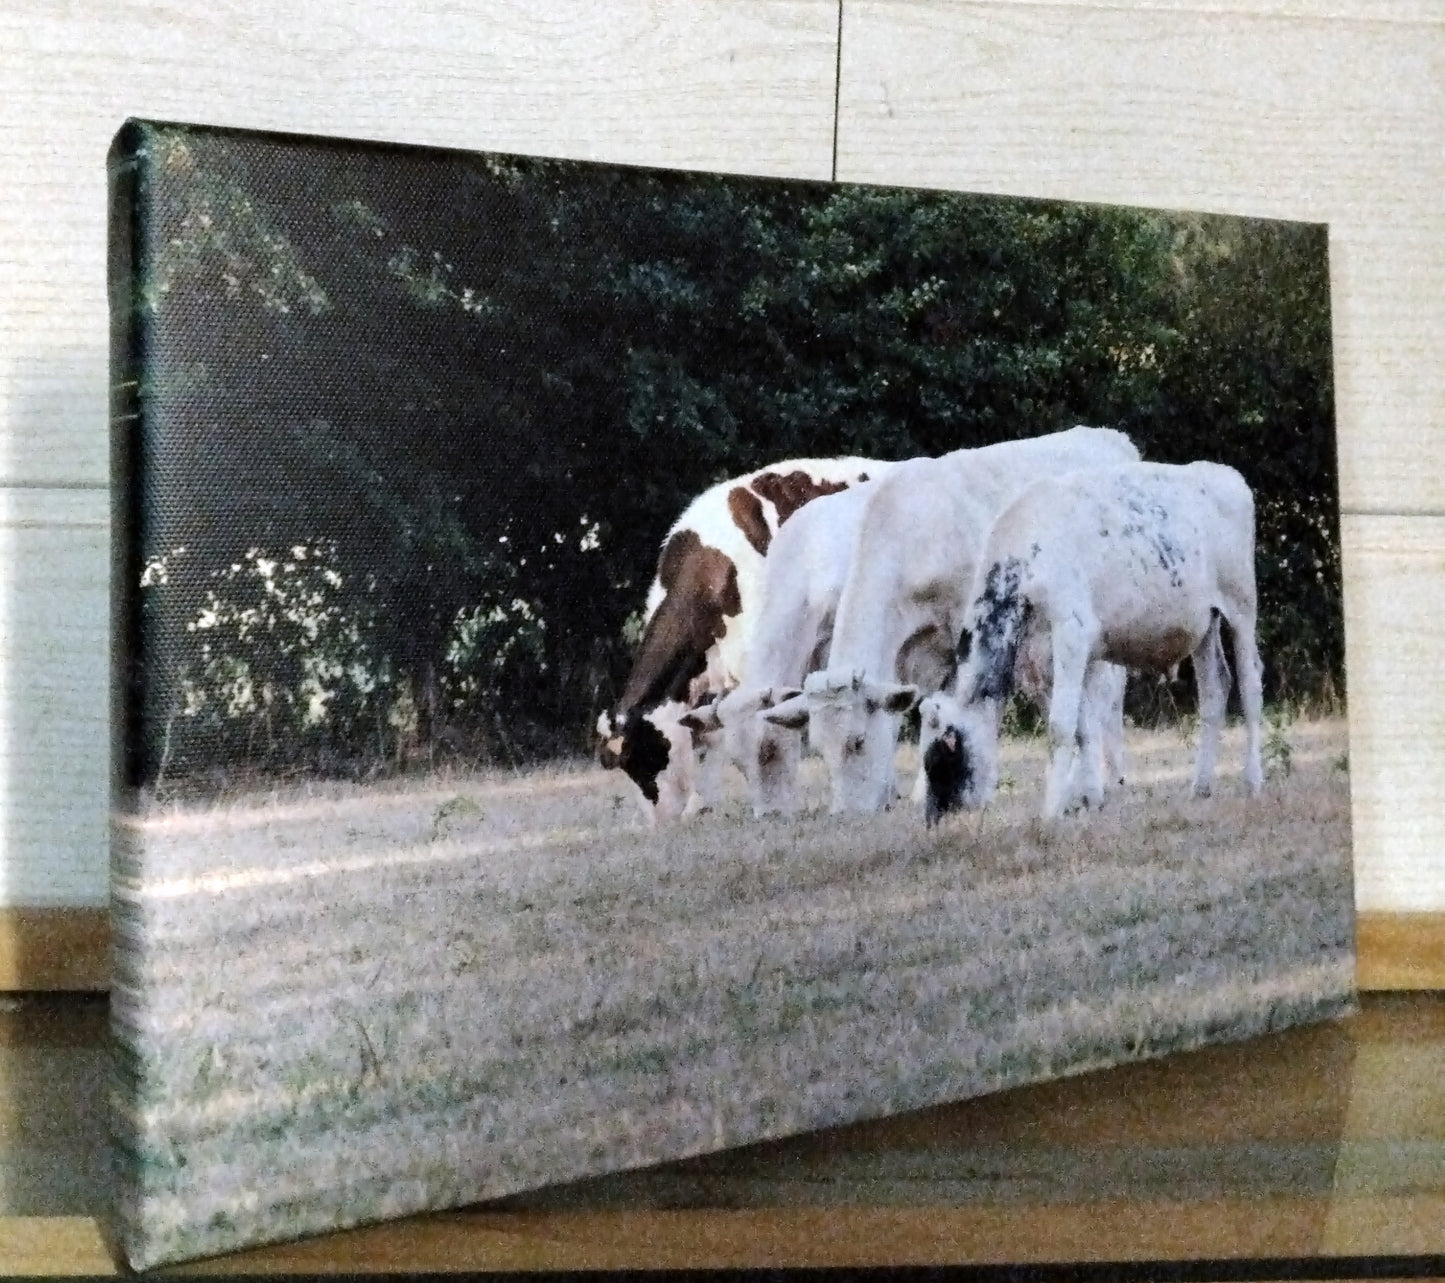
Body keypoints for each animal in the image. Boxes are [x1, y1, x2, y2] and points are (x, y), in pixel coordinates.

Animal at [762, 426, 1140, 814]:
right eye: (820, 749)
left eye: (858, 741)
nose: (846, 815)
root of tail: (1107, 436)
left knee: (1102, 697)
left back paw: (1099, 784)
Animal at [922, 460, 1264, 822]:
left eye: (941, 760)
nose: (932, 820)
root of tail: (1221, 473)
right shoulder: (1060, 655)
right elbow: (1083, 728)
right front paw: (1091, 799)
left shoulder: (1071, 634)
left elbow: (1061, 725)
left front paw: (1051, 811)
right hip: (1204, 625)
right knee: (1215, 688)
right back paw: (1201, 786)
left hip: (1241, 607)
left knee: (1250, 686)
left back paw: (1252, 780)